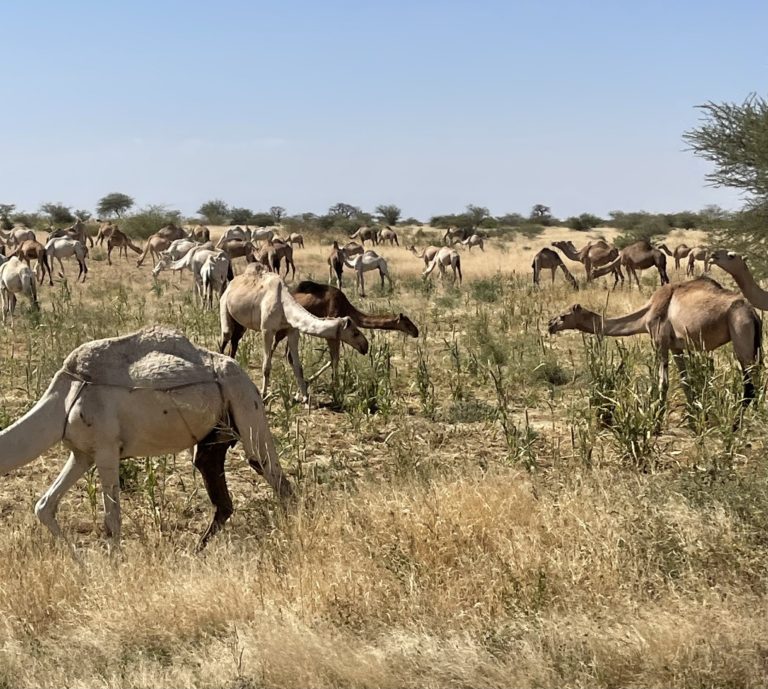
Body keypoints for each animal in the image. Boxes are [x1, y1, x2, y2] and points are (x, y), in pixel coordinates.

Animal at [0, 326, 292, 548]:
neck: (64, 400)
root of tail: (245, 375)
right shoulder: (82, 453)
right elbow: (44, 506)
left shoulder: (106, 450)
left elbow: (112, 521)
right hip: (216, 435)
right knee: (220, 492)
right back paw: (194, 552)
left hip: (246, 403)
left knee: (272, 474)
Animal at [219, 264, 368, 404]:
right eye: (355, 333)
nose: (365, 346)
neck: (284, 305)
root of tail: (232, 283)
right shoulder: (267, 330)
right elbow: (266, 366)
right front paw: (264, 396)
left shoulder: (292, 331)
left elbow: (298, 366)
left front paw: (305, 397)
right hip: (224, 305)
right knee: (225, 338)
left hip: (240, 323)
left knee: (234, 341)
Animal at [276, 282, 420, 384]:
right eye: (407, 323)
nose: (416, 332)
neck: (346, 307)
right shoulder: (332, 328)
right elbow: (334, 359)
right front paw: (335, 388)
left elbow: (332, 359)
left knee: (288, 354)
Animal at [548, 276, 760, 416]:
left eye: (564, 316)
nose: (550, 324)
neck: (646, 314)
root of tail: (753, 313)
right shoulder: (676, 346)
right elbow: (685, 381)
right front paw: (695, 415)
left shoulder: (659, 341)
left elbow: (662, 382)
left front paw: (656, 419)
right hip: (754, 344)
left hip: (740, 330)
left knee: (749, 384)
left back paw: (737, 424)